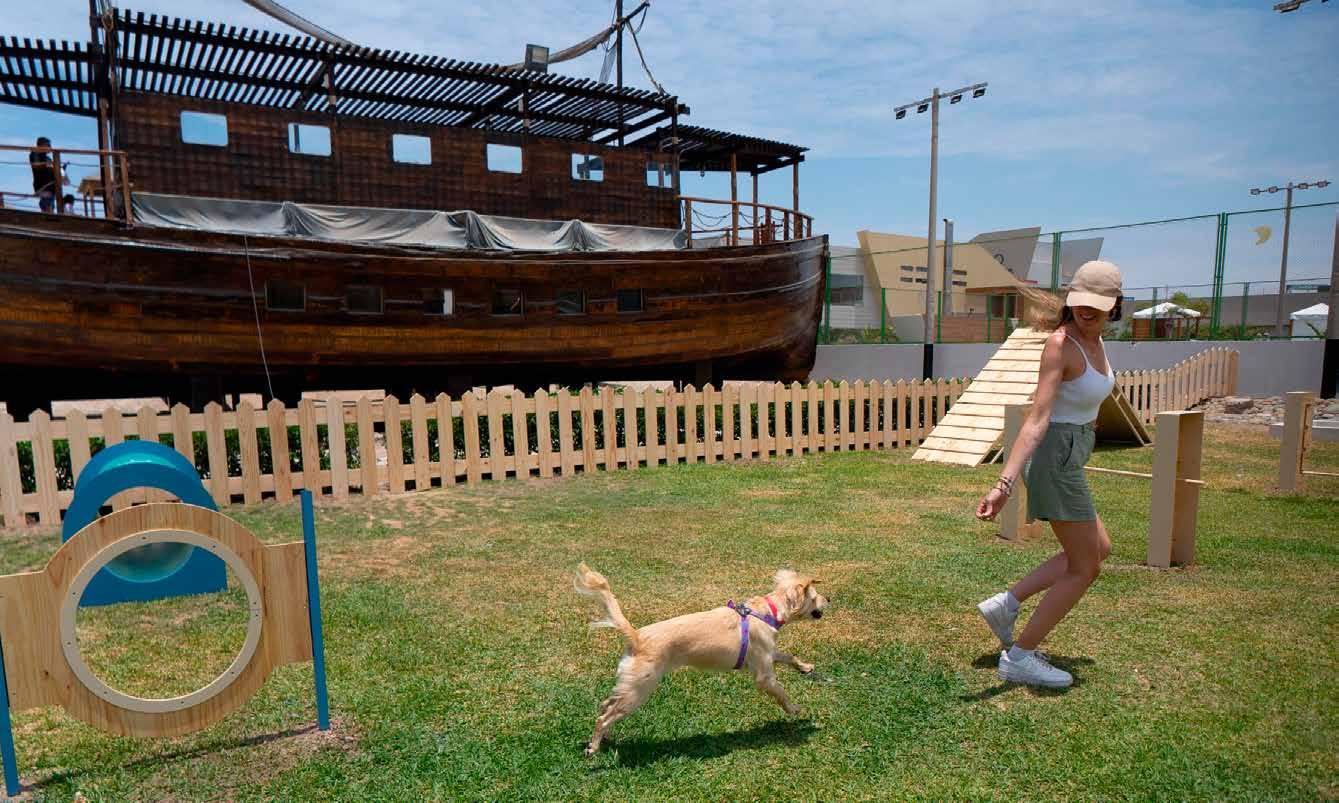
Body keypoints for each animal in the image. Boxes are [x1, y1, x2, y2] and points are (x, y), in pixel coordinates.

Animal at [574, 563, 829, 755]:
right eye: (816, 597)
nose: (830, 599)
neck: (767, 612)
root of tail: (637, 637)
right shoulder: (764, 675)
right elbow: (781, 693)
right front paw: (794, 709)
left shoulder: (766, 654)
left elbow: (788, 655)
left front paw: (805, 667)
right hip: (639, 690)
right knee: (604, 716)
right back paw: (593, 747)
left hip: (629, 685)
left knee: (605, 704)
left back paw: (604, 738)